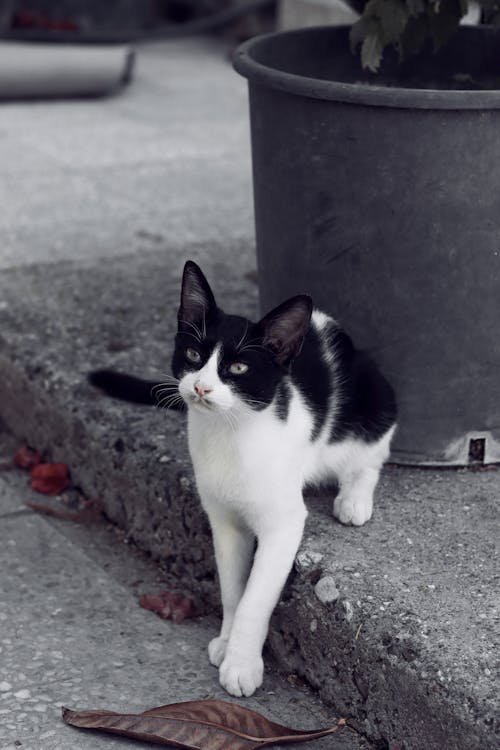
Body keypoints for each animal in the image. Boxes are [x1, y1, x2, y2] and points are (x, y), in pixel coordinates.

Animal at [89, 260, 394, 700]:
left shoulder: (284, 524)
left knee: (371, 453)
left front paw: (242, 664)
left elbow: (255, 598)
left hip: (375, 404)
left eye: (237, 368)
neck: (229, 434)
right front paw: (227, 641)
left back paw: (354, 498)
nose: (201, 387)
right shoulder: (224, 521)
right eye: (193, 354)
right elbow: (233, 588)